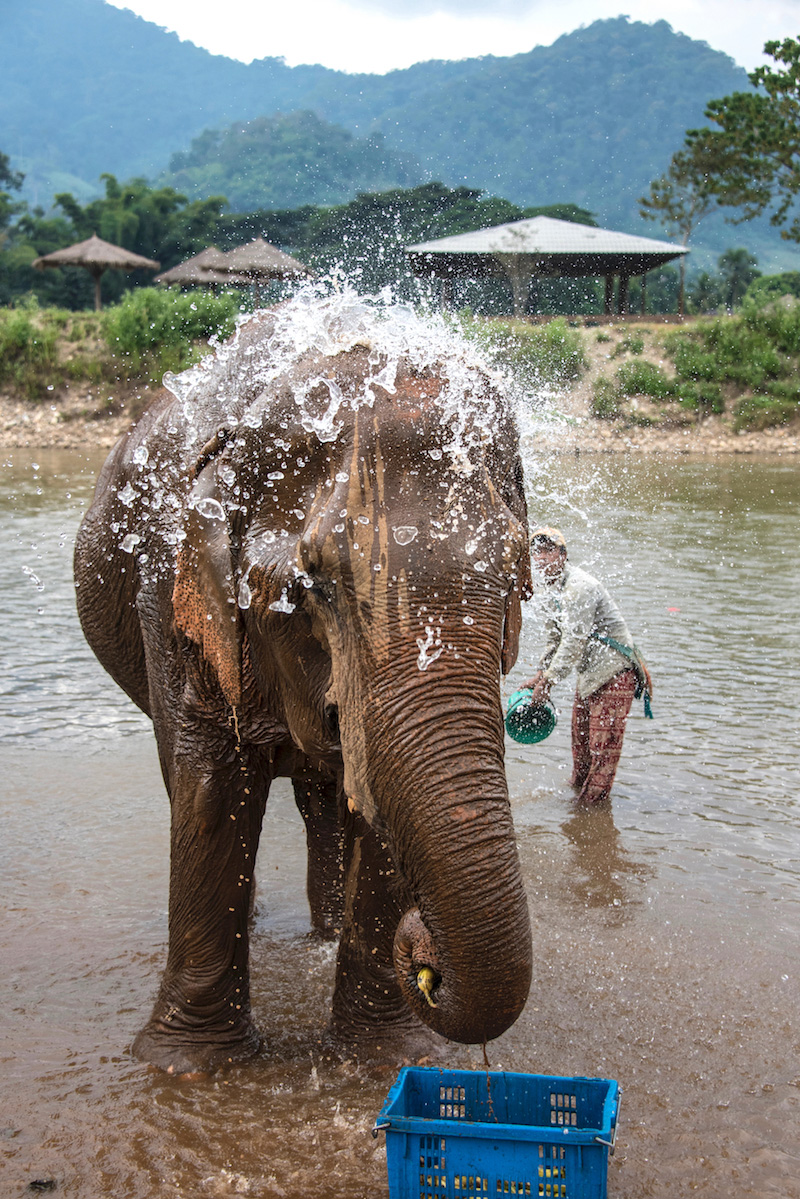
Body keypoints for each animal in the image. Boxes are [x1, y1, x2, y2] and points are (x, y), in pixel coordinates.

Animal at [74, 292, 534, 1079]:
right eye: (311, 582)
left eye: (514, 574)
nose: (426, 956)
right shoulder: (169, 593)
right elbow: (212, 784)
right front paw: (186, 1069)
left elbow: (374, 799)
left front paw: (380, 1060)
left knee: (326, 794)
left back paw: (322, 933)